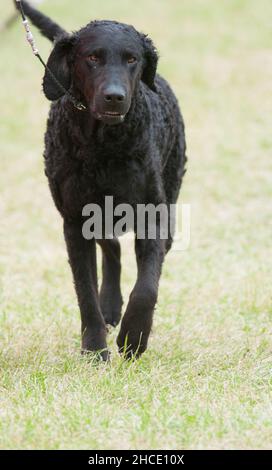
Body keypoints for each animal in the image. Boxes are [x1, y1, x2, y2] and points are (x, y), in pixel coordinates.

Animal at [15, 0, 187, 360]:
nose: (114, 96)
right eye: (92, 57)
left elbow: (146, 288)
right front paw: (95, 349)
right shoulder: (75, 220)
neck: (104, 146)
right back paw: (109, 306)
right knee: (111, 248)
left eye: (132, 59)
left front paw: (134, 338)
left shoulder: (153, 216)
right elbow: (85, 293)